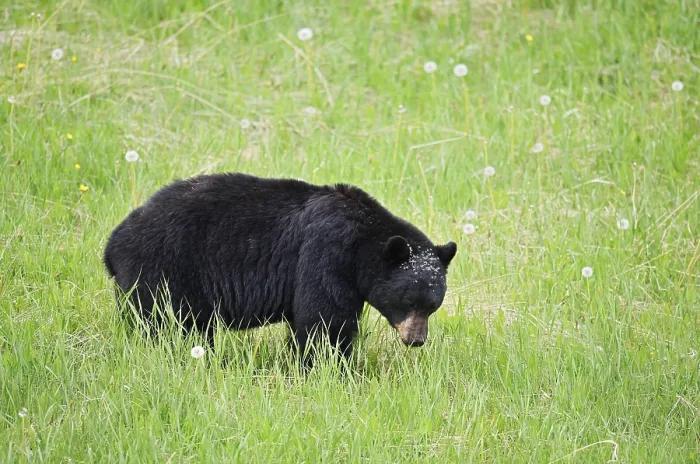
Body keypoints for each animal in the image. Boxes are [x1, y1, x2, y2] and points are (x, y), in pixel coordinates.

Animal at [103, 172, 457, 363]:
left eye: (433, 306)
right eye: (408, 302)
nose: (417, 339)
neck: (362, 242)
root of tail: (113, 244)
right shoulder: (326, 251)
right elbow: (324, 319)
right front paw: (330, 366)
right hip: (164, 270)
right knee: (165, 323)